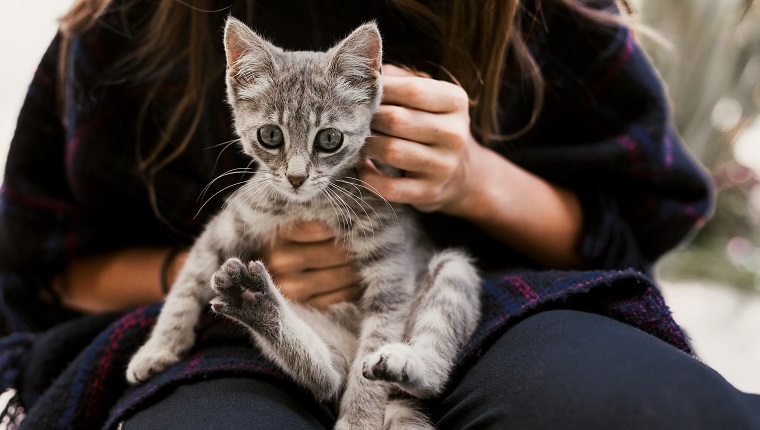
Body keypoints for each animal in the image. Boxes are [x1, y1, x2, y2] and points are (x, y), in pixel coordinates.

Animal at [124, 17, 480, 430]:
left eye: (329, 139)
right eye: (270, 135)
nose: (295, 178)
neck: (308, 206)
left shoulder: (392, 268)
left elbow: (376, 341)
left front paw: (359, 420)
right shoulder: (227, 226)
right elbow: (185, 285)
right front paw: (158, 348)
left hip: (452, 273)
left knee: (423, 371)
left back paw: (402, 364)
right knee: (326, 376)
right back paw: (255, 303)